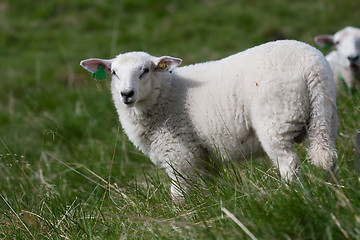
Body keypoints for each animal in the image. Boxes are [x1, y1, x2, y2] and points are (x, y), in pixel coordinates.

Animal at [81, 39, 338, 201]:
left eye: (145, 70)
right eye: (114, 73)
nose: (126, 94)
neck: (164, 93)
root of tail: (311, 67)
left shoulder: (179, 151)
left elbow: (179, 194)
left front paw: (183, 219)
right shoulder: (203, 153)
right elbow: (210, 185)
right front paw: (213, 206)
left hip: (276, 120)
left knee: (289, 165)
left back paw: (292, 196)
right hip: (324, 114)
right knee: (327, 157)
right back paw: (336, 194)